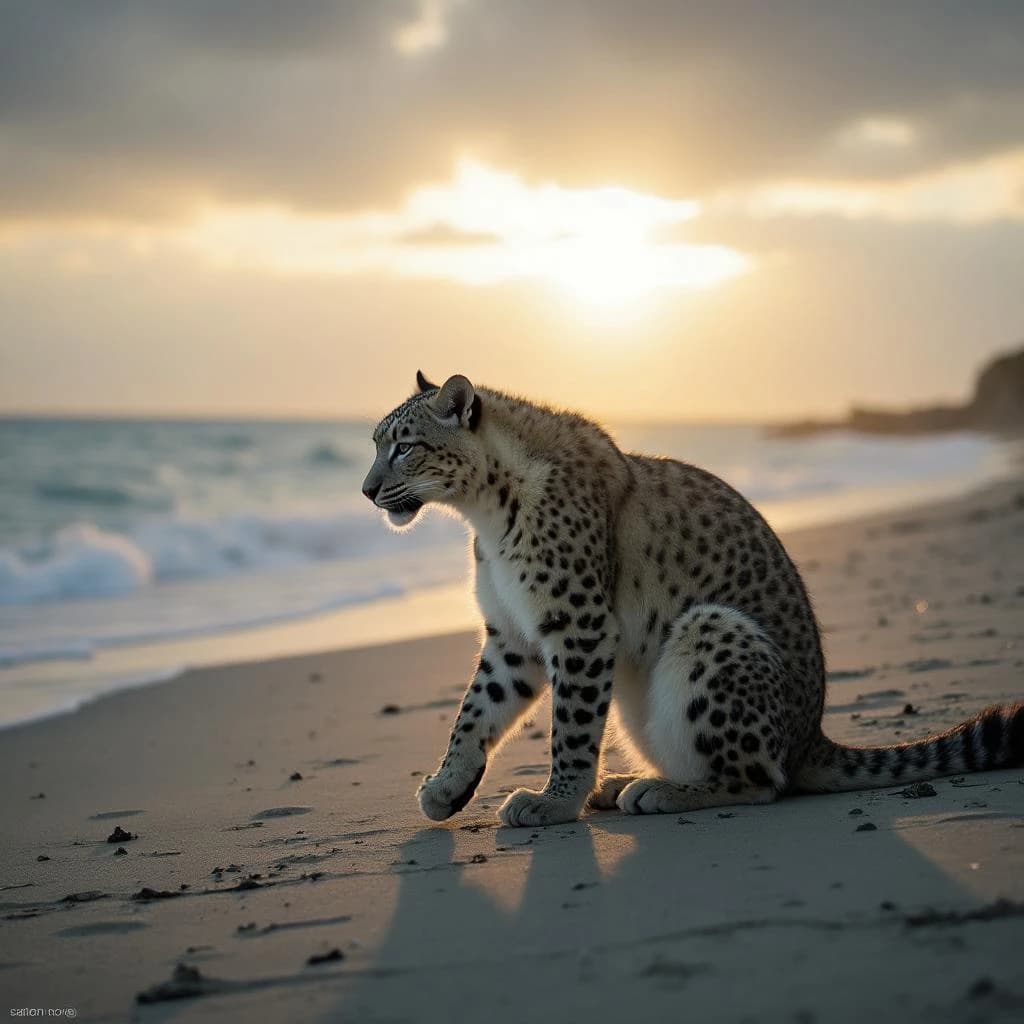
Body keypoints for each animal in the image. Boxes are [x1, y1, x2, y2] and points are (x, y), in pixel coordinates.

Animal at [362, 372, 1024, 828]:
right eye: (373, 443)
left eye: (404, 446)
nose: (367, 491)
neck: (482, 513)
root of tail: (811, 734)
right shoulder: (513, 635)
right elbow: (476, 711)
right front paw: (447, 788)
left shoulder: (578, 626)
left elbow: (571, 725)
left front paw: (556, 801)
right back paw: (624, 783)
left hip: (712, 628)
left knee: (763, 779)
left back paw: (654, 792)